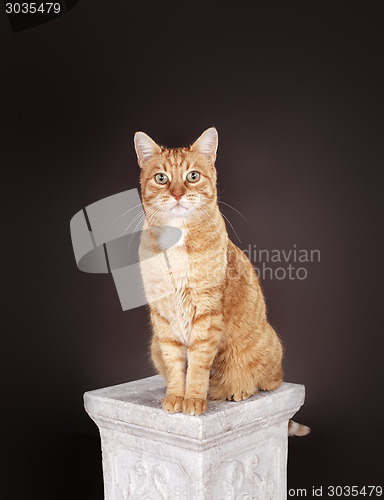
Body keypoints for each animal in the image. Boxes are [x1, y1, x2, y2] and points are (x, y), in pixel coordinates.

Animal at [135, 129, 308, 438]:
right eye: (161, 178)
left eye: (192, 176)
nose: (177, 194)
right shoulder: (163, 320)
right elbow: (176, 363)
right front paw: (176, 396)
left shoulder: (206, 314)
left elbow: (198, 366)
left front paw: (193, 399)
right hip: (154, 344)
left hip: (266, 350)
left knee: (268, 382)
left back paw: (237, 390)